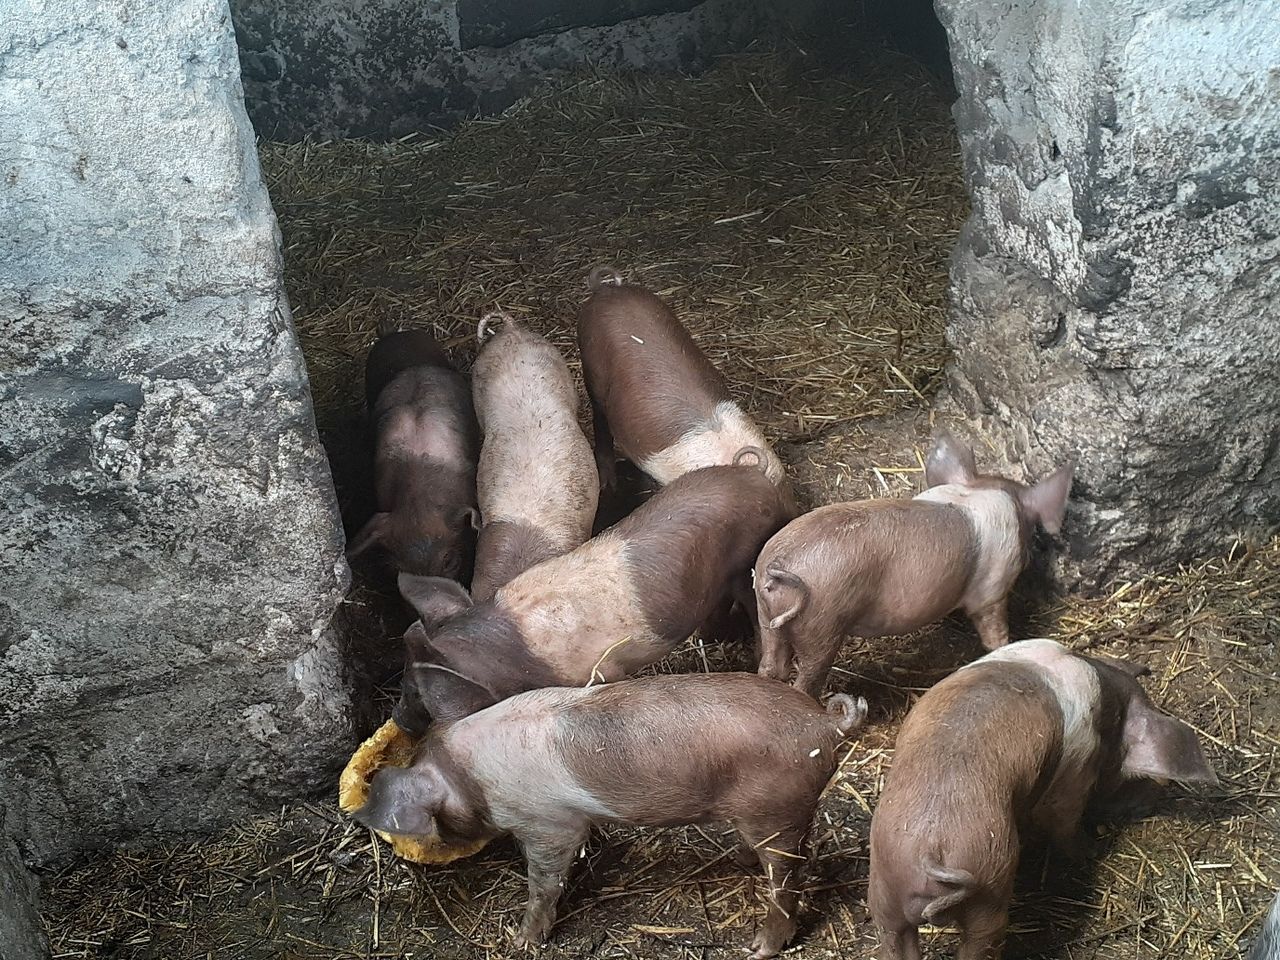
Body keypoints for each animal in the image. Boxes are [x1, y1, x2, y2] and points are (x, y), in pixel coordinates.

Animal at [353, 672, 869, 958]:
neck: (467, 776)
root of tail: (824, 723)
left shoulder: (549, 823)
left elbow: (545, 881)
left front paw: (523, 943)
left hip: (776, 808)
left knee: (788, 878)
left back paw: (758, 949)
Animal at [391, 454, 792, 734]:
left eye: (417, 693)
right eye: (403, 681)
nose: (398, 720)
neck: (507, 651)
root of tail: (756, 476)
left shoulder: (602, 671)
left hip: (748, 556)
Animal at [754, 431, 1073, 697]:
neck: (980, 491)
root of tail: (779, 565)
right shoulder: (993, 587)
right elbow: (993, 630)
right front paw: (1005, 646)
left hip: (766, 612)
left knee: (772, 665)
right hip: (822, 622)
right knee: (806, 679)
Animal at [868, 638, 1217, 960]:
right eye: (1130, 778)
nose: (1149, 800)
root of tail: (931, 851)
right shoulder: (1076, 771)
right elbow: (1062, 822)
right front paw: (1092, 851)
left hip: (886, 890)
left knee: (894, 938)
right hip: (989, 882)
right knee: (982, 938)